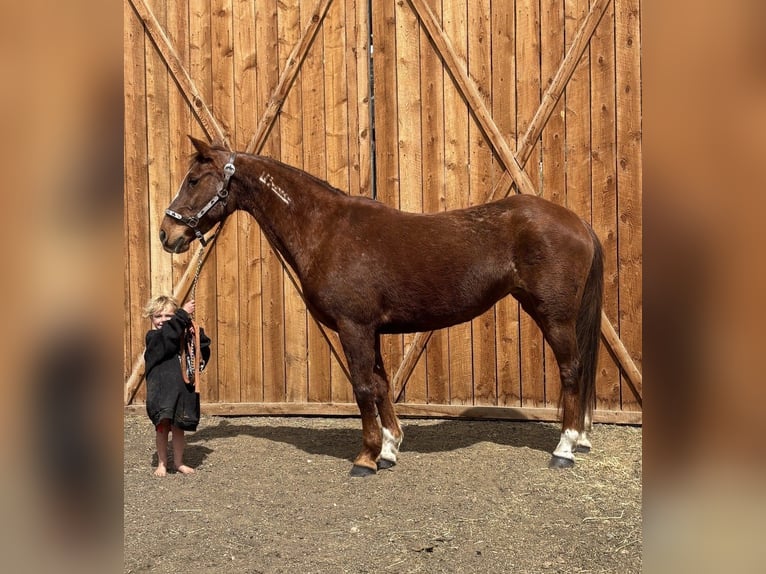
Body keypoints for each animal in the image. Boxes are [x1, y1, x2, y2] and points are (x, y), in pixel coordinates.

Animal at [160, 137, 604, 476]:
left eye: (194, 179)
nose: (167, 233)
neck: (325, 230)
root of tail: (578, 222)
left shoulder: (353, 326)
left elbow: (361, 387)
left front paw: (366, 458)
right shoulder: (370, 329)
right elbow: (381, 384)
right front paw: (390, 449)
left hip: (555, 317)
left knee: (572, 370)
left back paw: (565, 448)